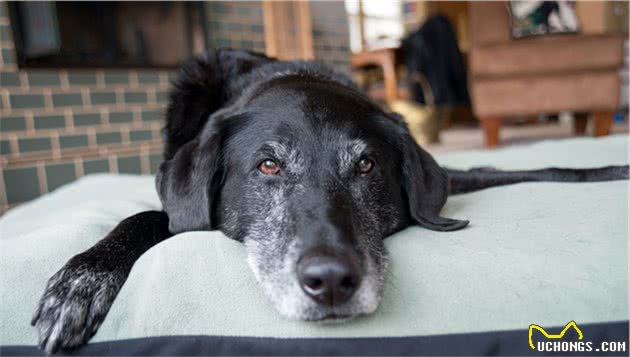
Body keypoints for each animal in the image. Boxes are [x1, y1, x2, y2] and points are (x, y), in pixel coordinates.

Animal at [28, 50, 628, 354]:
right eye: (268, 166)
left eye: (366, 167)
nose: (332, 282)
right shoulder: (175, 209)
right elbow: (145, 217)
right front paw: (80, 282)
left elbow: (540, 168)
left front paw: (611, 168)